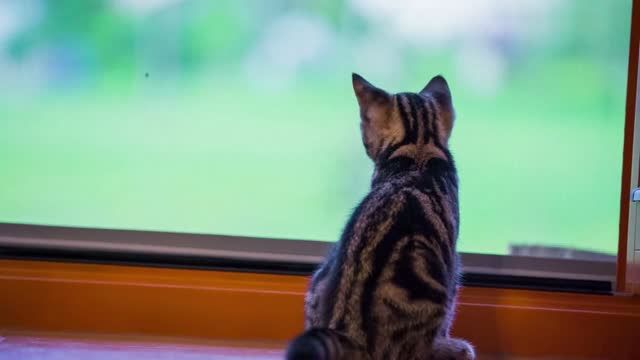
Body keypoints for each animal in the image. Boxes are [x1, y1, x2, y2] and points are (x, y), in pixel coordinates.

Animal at [284, 74, 476, 360]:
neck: (418, 146)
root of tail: (347, 330)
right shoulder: (453, 263)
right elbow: (449, 313)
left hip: (319, 279)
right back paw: (451, 349)